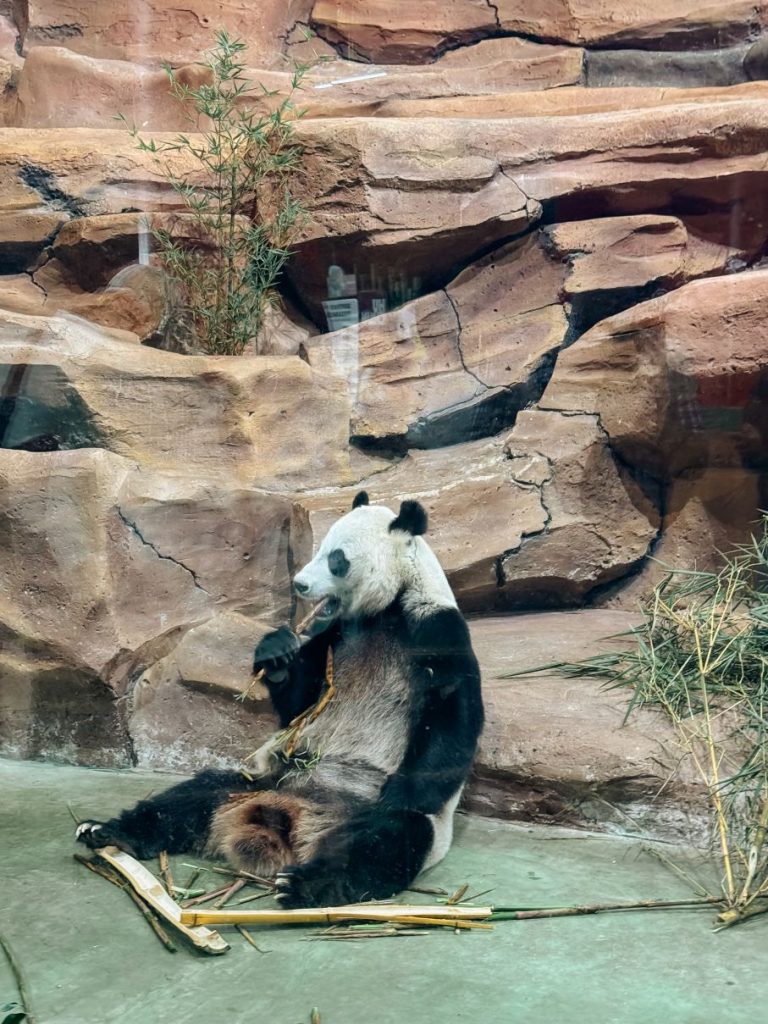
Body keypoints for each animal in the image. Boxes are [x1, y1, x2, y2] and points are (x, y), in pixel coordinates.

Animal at [76, 491, 484, 908]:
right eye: (318, 548)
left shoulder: (434, 628)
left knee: (386, 840)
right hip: (260, 780)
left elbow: (451, 716)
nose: (300, 584)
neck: (386, 608)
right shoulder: (333, 634)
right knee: (192, 795)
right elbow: (299, 703)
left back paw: (305, 884)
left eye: (337, 558)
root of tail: (291, 814)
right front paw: (275, 653)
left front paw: (401, 792)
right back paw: (111, 831)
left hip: (378, 818)